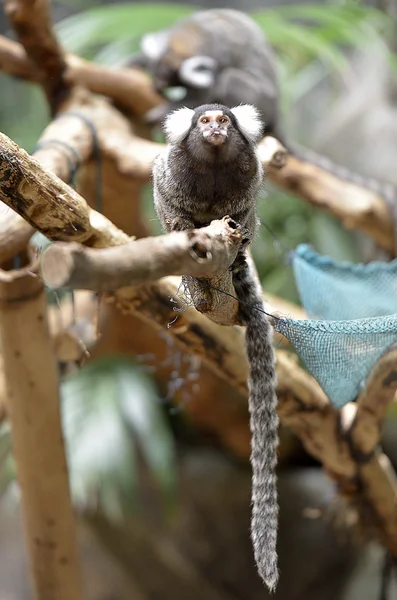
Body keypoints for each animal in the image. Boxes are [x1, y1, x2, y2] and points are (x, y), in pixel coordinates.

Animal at [152, 103, 278, 592]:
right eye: (203, 122)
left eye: (224, 120)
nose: (216, 129)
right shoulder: (168, 175)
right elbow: (165, 195)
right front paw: (182, 226)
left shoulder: (250, 180)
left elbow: (247, 210)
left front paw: (236, 235)